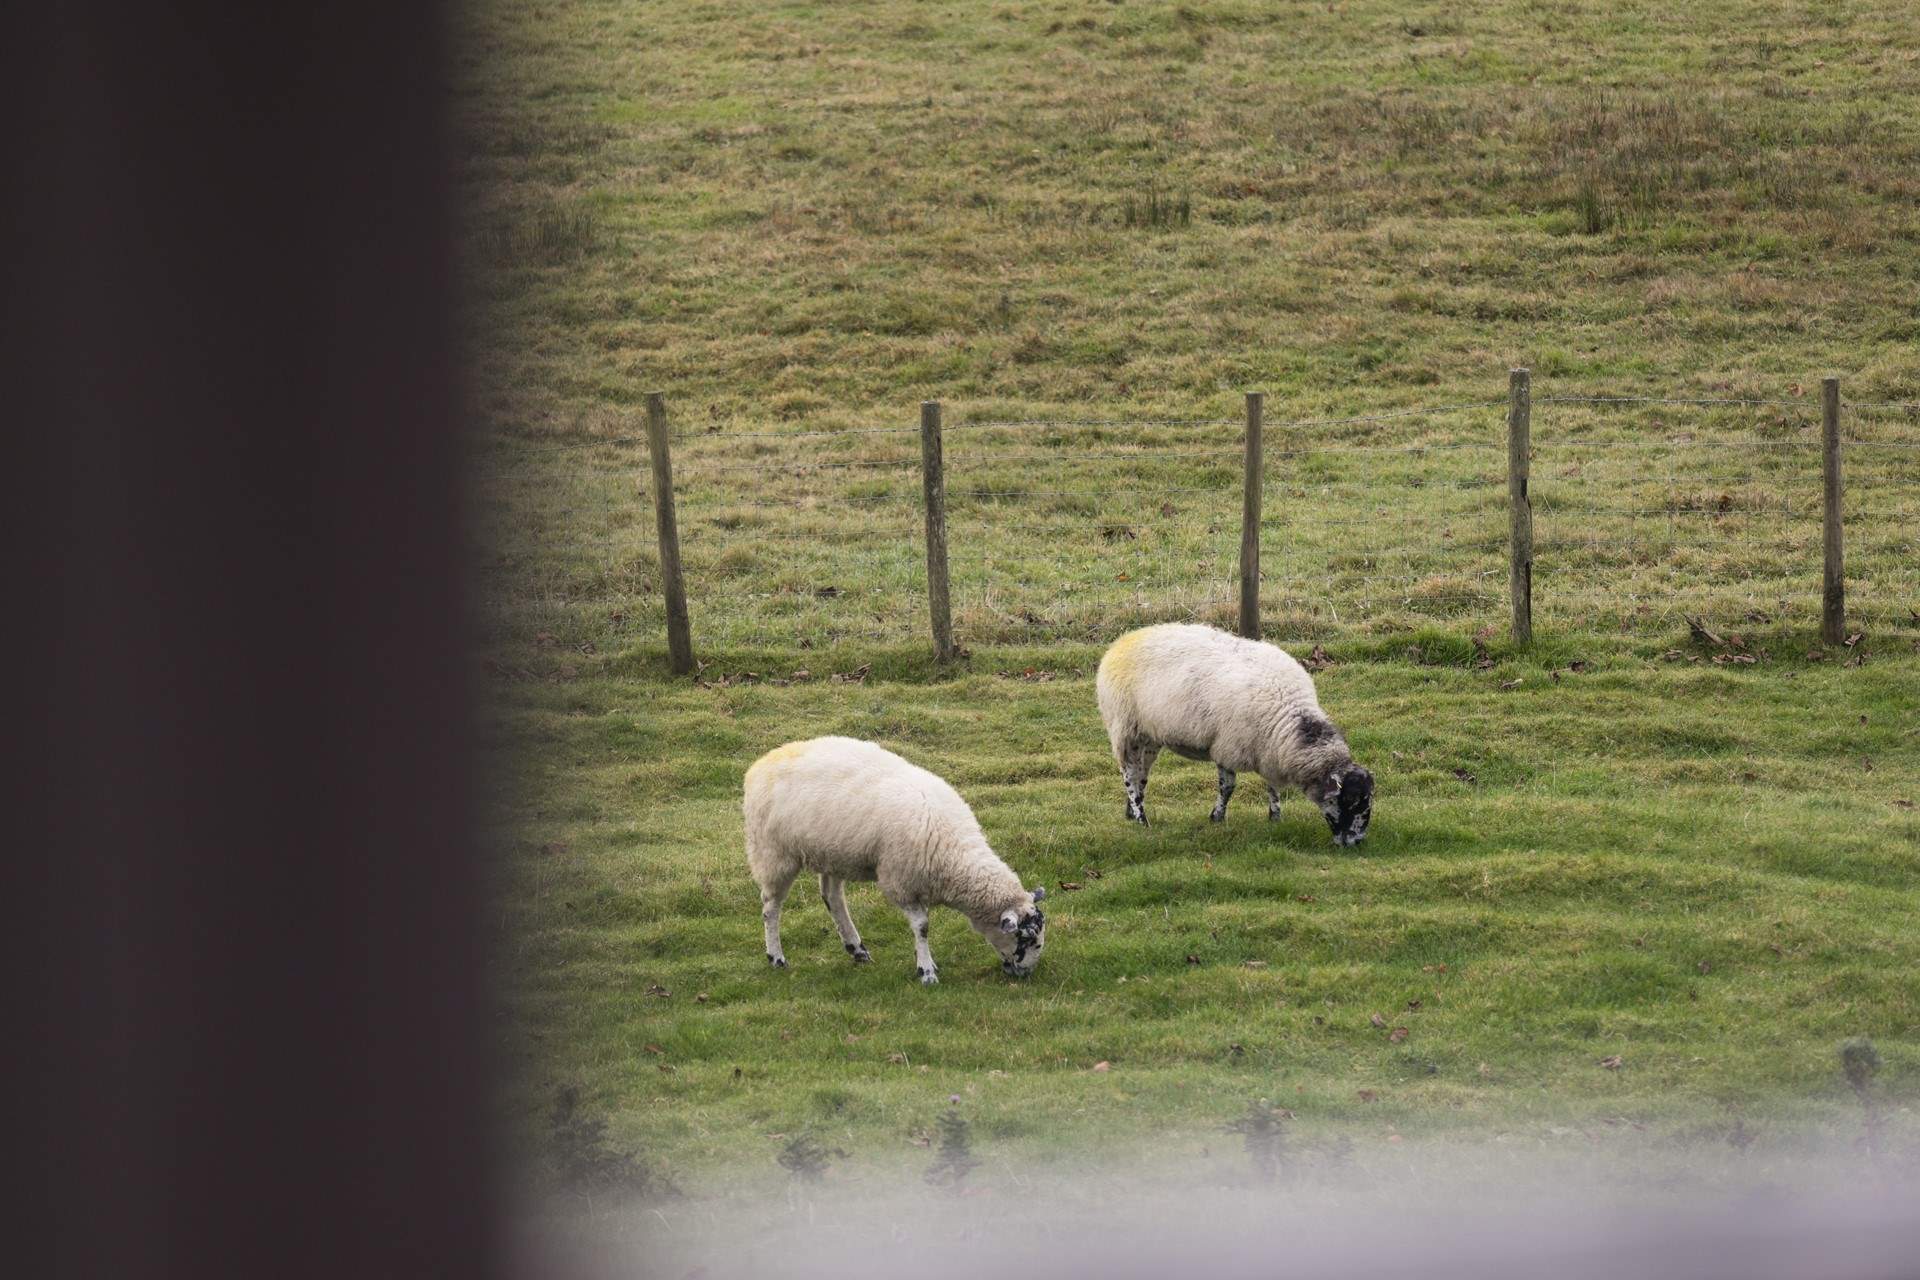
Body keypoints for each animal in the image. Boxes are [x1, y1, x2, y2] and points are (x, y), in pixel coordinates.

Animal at [743, 736, 1047, 984]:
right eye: (1025, 939)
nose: (1027, 973)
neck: (956, 854)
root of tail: (761, 763)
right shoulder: (899, 881)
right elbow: (922, 927)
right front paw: (926, 971)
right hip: (774, 853)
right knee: (771, 907)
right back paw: (776, 957)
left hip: (833, 852)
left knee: (832, 897)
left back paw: (857, 949)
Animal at [1095, 623, 1374, 846]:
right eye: (1350, 801)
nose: (1356, 842)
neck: (1289, 712)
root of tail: (1123, 640)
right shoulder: (1227, 747)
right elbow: (1228, 788)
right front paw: (1217, 817)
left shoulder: (1269, 749)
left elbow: (1272, 786)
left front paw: (1275, 817)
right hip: (1124, 728)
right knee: (1129, 775)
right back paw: (1142, 819)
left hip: (1149, 736)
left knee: (1141, 774)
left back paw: (1131, 812)